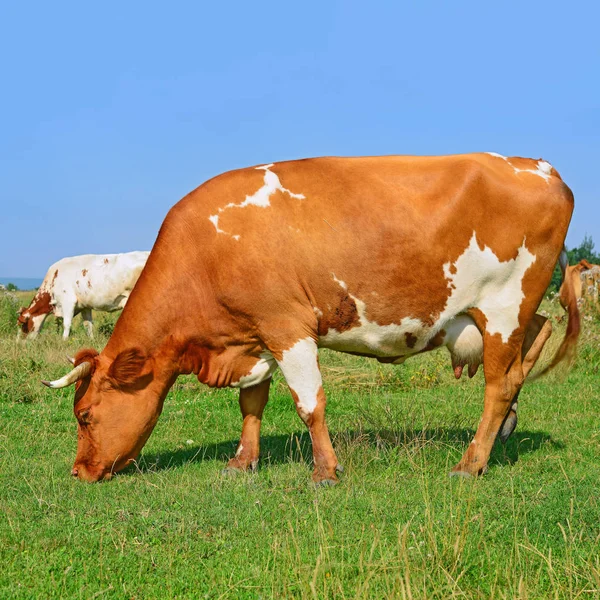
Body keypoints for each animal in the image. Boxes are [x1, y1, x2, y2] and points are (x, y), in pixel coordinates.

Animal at [17, 251, 149, 340]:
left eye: (23, 324)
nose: (19, 343)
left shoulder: (68, 301)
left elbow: (66, 324)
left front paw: (64, 341)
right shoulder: (85, 306)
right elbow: (88, 325)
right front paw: (91, 340)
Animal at [41, 154, 576, 482]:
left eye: (85, 415)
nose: (77, 472)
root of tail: (541, 168)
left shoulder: (287, 329)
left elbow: (309, 403)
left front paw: (324, 471)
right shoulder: (254, 334)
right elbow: (251, 402)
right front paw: (243, 462)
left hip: (503, 307)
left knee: (499, 383)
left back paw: (471, 462)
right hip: (503, 314)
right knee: (538, 337)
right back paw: (505, 428)